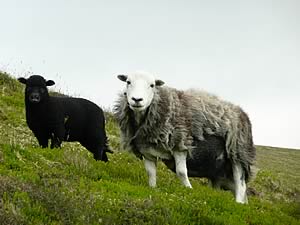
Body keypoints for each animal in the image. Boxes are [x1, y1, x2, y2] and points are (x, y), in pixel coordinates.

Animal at [114, 71, 255, 203]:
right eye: (128, 82)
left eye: (152, 85)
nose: (137, 99)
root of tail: (243, 113)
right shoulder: (147, 152)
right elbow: (151, 173)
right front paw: (152, 188)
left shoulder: (180, 144)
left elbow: (181, 172)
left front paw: (189, 190)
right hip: (219, 170)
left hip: (237, 153)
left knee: (240, 185)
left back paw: (239, 203)